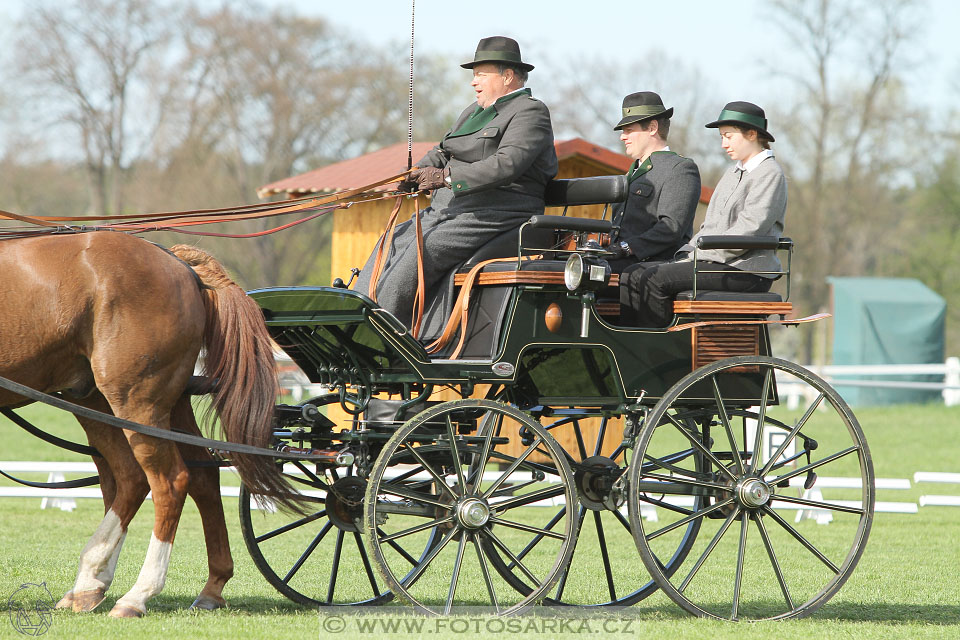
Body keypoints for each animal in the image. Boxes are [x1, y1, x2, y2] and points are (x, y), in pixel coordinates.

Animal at [0, 230, 300, 616]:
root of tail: (179, 263)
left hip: (136, 401)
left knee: (168, 481)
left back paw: (137, 594)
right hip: (109, 400)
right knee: (165, 476)